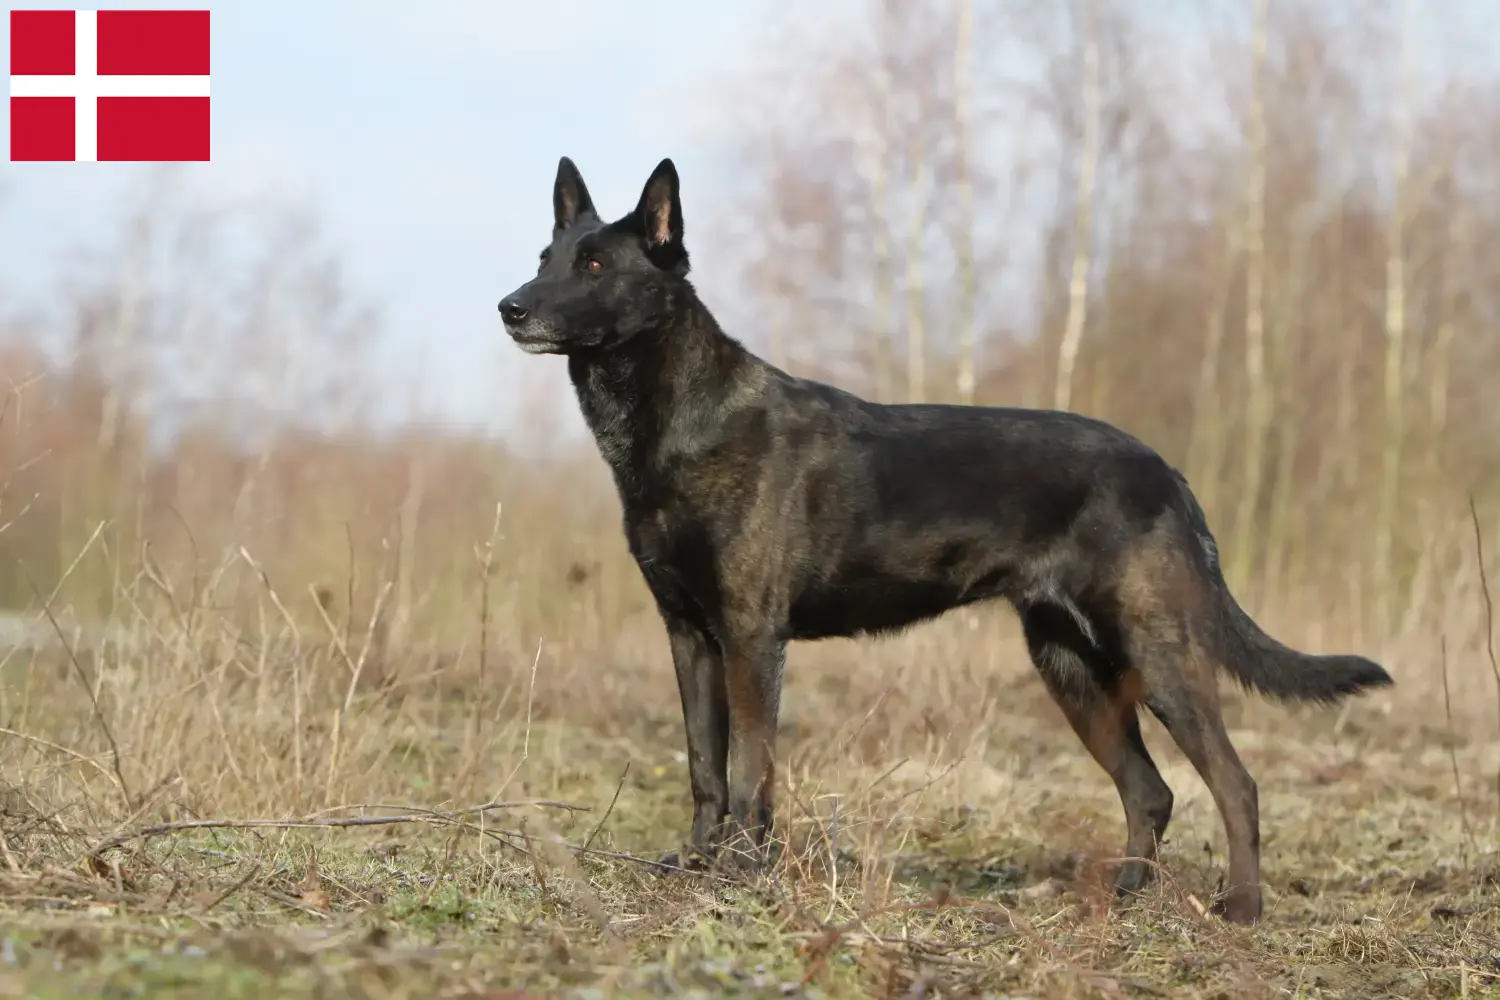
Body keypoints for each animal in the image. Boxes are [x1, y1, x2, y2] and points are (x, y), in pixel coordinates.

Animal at [495, 152, 1392, 929]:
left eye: (596, 267)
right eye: (546, 256)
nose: (511, 306)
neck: (680, 421)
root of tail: (1168, 472)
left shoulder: (751, 636)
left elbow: (750, 768)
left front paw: (743, 874)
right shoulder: (689, 636)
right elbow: (703, 768)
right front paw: (697, 864)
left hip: (1159, 653)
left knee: (1235, 783)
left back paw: (1241, 908)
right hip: (1072, 670)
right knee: (1151, 792)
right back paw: (1123, 898)